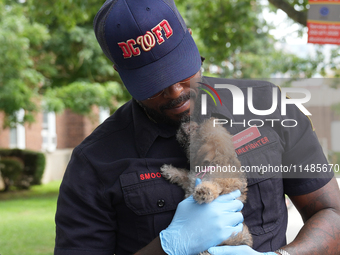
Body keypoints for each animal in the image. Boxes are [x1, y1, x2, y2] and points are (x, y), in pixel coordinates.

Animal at [160, 117, 252, 255]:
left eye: (197, 129)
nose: (185, 121)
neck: (216, 162)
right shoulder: (190, 180)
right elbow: (183, 175)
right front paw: (170, 171)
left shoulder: (225, 183)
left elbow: (216, 184)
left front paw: (205, 190)